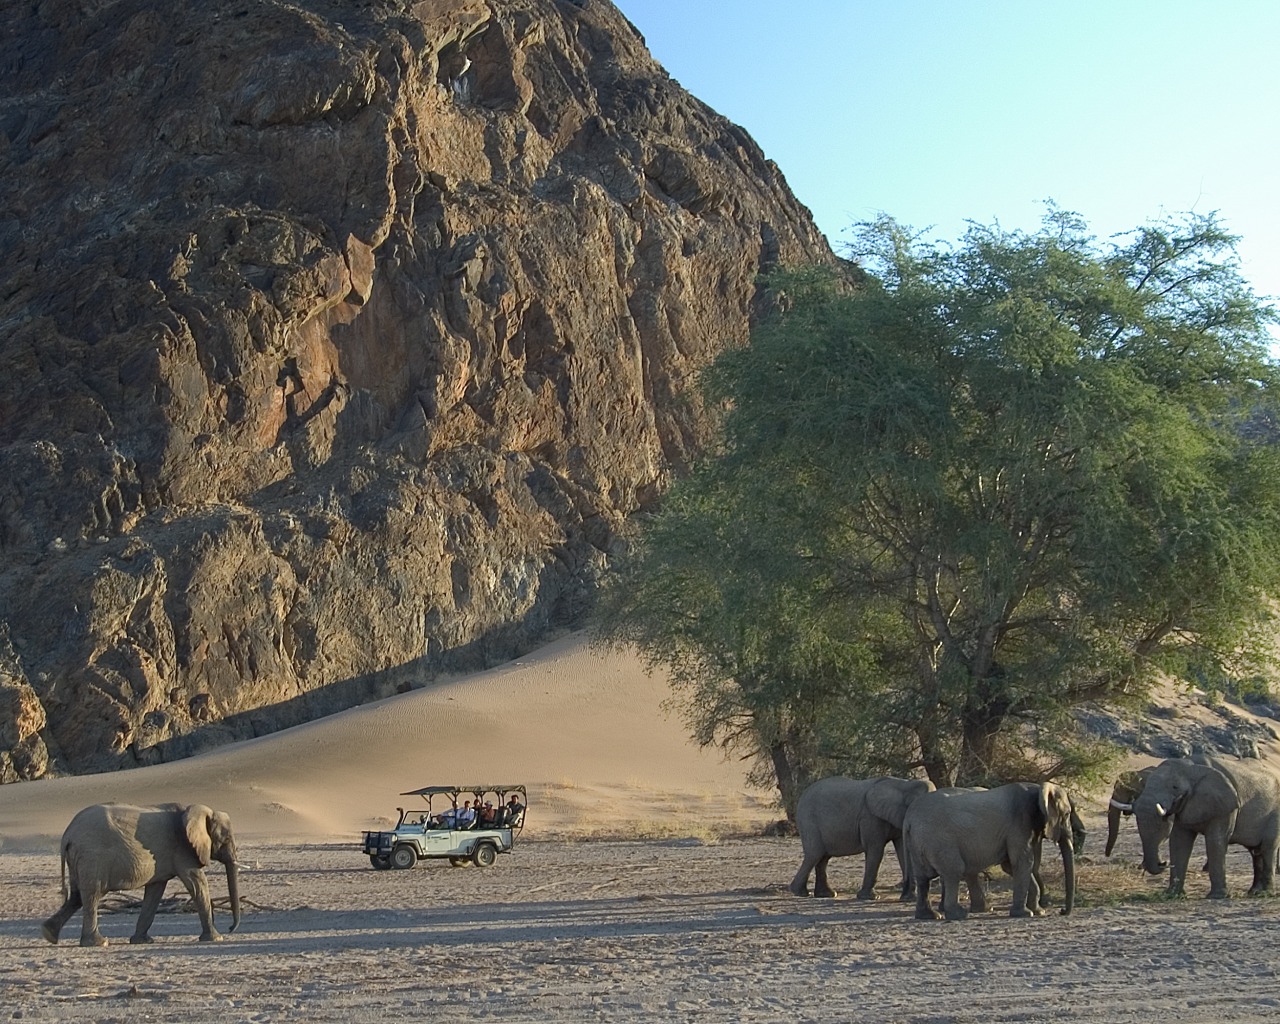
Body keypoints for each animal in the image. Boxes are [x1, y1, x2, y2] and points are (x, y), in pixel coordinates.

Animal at [40, 803, 240, 947]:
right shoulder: (183, 850)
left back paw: (49, 935)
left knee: (76, 896)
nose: (230, 928)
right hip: (92, 858)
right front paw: (216, 938)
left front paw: (142, 941)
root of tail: (67, 835)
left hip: (79, 859)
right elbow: (198, 884)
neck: (193, 811)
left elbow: (155, 892)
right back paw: (99, 943)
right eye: (226, 839)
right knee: (92, 894)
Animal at [788, 778, 931, 896]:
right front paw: (870, 897)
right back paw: (800, 892)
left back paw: (826, 894)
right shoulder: (870, 818)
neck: (903, 784)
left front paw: (910, 897)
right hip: (808, 821)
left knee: (823, 857)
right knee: (814, 854)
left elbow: (903, 850)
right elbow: (876, 850)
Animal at [906, 783, 1075, 921]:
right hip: (940, 841)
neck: (1038, 790)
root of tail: (910, 818)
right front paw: (1025, 914)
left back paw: (928, 916)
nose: (1062, 911)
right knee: (954, 871)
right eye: (1067, 814)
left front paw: (1039, 912)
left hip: (919, 842)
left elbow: (1011, 866)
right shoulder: (1019, 824)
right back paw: (958, 914)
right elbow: (1023, 862)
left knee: (923, 878)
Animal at [1131, 752, 1280, 896]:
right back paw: (1254, 892)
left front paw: (1217, 896)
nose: (1163, 862)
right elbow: (1179, 841)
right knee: (1256, 852)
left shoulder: (1226, 805)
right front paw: (1172, 895)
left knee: (1268, 848)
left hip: (1275, 813)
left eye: (1175, 787)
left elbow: (1216, 840)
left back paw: (1265, 893)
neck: (1190, 767)